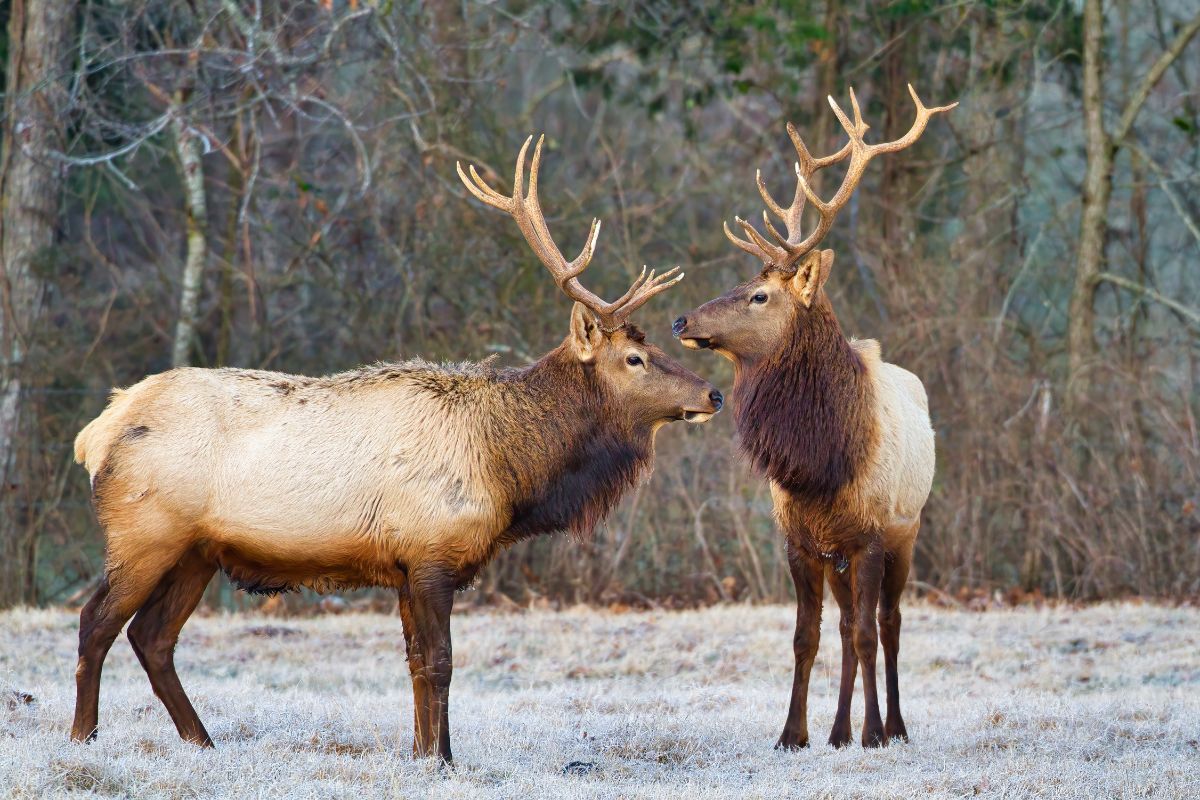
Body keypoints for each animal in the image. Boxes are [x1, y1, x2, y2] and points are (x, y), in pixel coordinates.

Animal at [72, 136, 720, 762]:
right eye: (634, 358)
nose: (712, 392)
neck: (509, 472)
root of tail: (97, 431)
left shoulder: (406, 565)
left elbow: (413, 664)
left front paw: (423, 752)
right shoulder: (432, 553)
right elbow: (440, 663)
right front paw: (441, 760)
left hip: (196, 552)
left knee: (153, 637)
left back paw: (203, 742)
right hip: (144, 533)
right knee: (96, 622)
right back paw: (84, 737)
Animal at [672, 87, 950, 753]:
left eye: (760, 295)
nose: (682, 320)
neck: (820, 462)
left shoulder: (871, 535)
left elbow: (869, 634)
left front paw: (875, 732)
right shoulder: (800, 540)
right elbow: (807, 637)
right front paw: (793, 733)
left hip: (908, 530)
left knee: (888, 624)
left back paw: (892, 726)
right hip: (839, 555)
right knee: (848, 623)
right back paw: (838, 730)